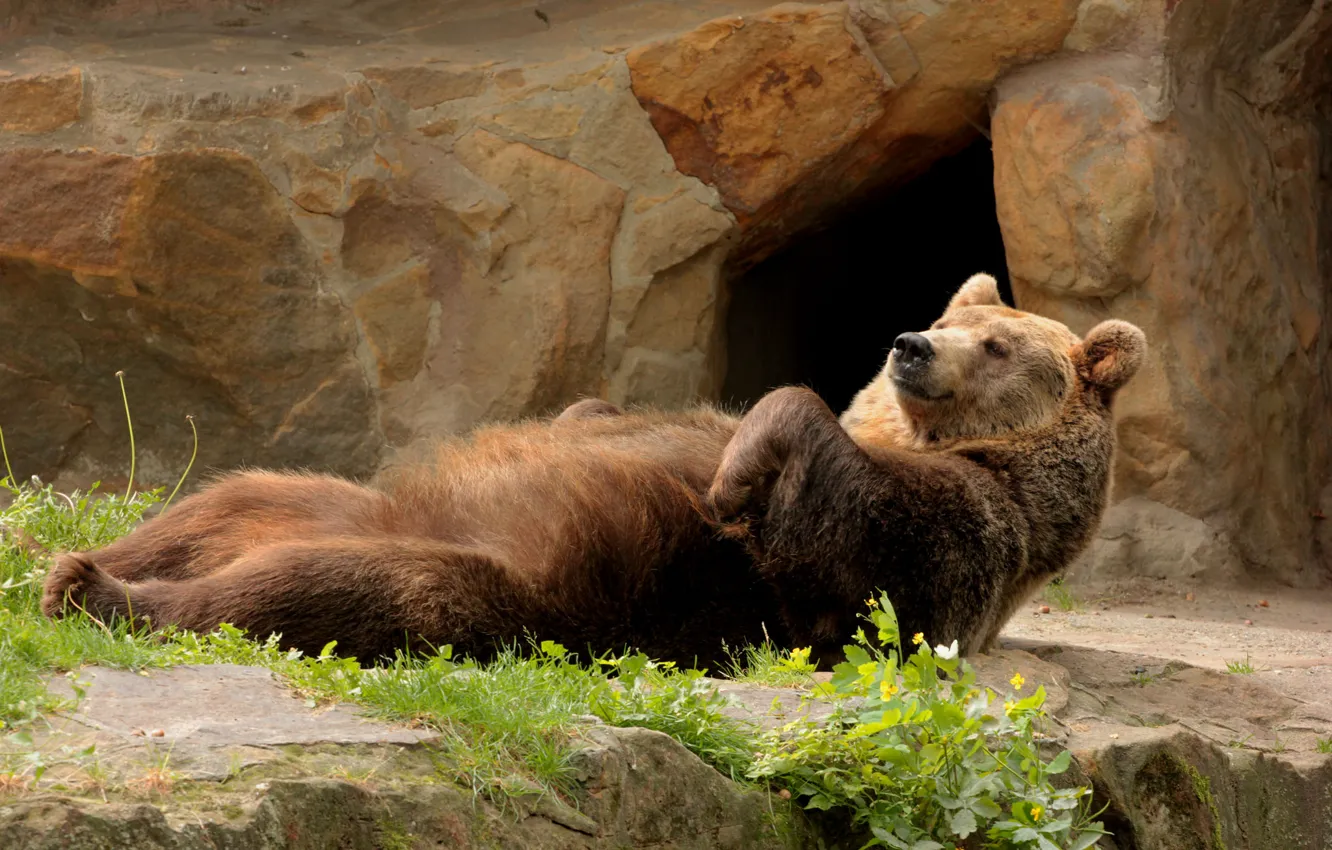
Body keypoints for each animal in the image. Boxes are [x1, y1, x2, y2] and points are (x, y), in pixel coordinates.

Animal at [41, 273, 1144, 669]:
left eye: (999, 345)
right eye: (952, 314)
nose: (911, 345)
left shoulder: (951, 534)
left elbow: (830, 540)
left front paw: (733, 479)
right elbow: (604, 415)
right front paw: (589, 413)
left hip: (532, 586)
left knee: (335, 587)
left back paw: (101, 591)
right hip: (319, 499)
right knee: (232, 494)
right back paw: (74, 560)